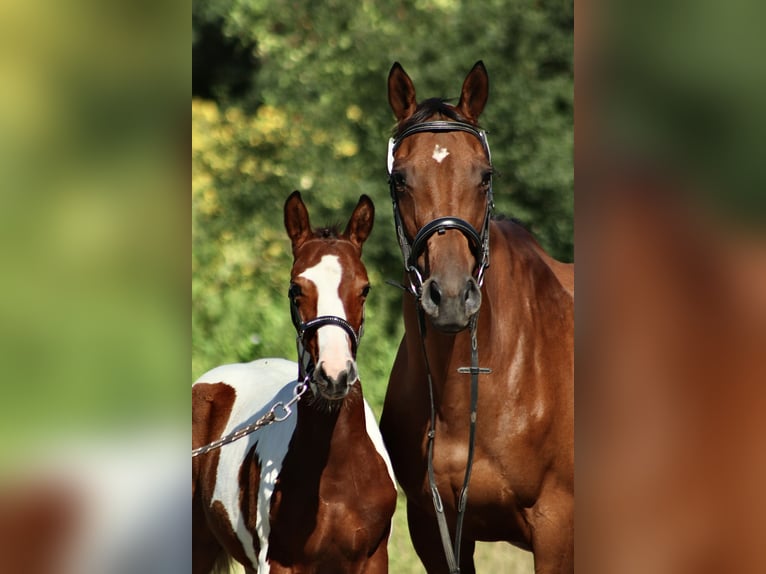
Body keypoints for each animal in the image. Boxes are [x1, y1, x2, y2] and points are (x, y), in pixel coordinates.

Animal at [192, 191, 397, 573]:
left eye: (364, 289)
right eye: (294, 289)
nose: (334, 375)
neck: (335, 479)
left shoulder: (373, 559)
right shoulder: (278, 563)